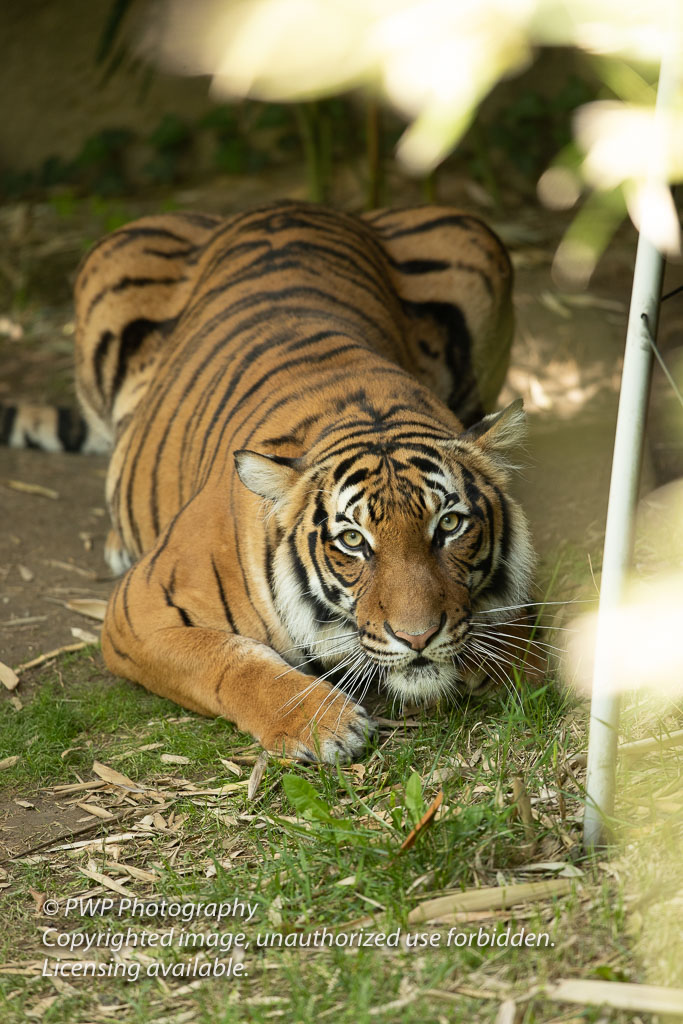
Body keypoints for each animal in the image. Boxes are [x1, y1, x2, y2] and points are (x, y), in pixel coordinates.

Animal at [2, 201, 540, 761]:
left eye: (450, 526)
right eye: (353, 540)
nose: (418, 638)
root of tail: (285, 206)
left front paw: (516, 664)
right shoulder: (140, 608)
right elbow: (226, 657)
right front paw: (321, 723)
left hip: (472, 237)